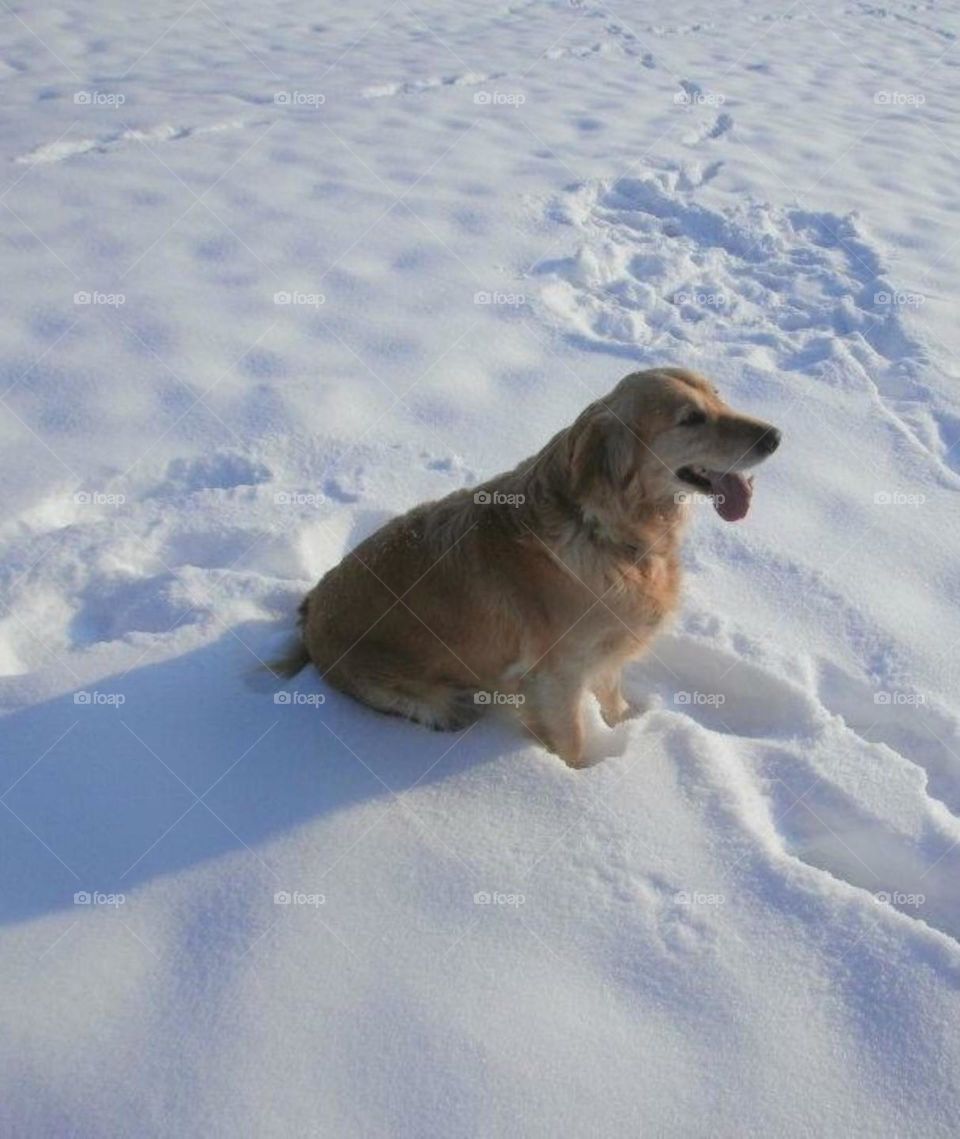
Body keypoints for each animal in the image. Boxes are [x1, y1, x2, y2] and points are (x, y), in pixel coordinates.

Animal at [275, 369, 778, 769]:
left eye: (719, 395)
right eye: (691, 418)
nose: (775, 436)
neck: (604, 528)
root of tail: (311, 613)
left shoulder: (606, 650)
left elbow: (612, 695)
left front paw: (626, 726)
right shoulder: (557, 676)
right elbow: (571, 739)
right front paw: (584, 779)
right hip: (433, 697)